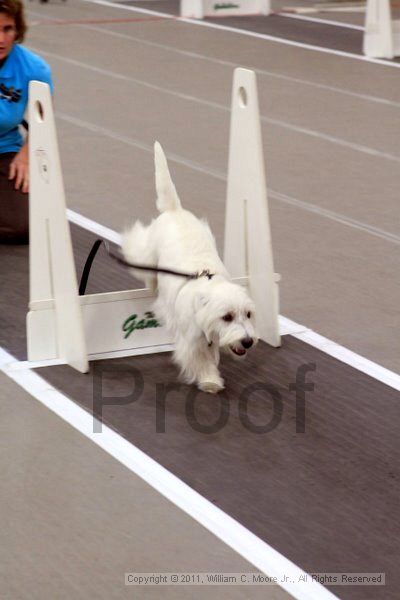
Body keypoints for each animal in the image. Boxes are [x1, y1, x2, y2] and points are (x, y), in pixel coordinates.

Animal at [120, 141, 258, 394]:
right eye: (227, 317)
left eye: (248, 314)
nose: (247, 341)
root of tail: (174, 209)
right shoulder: (192, 343)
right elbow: (201, 361)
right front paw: (211, 382)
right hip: (147, 251)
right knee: (141, 258)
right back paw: (151, 283)